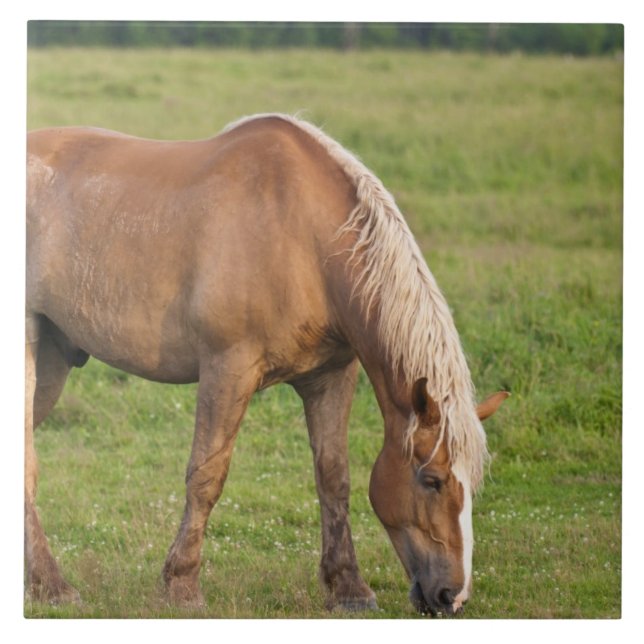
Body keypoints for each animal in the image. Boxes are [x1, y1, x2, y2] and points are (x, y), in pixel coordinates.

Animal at [26, 113, 508, 616]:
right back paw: (53, 586)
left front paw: (348, 587)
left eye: (473, 483)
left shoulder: (331, 377)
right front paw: (182, 584)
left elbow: (334, 477)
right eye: (432, 480)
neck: (305, 238)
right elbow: (206, 476)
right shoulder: (228, 370)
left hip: (53, 359)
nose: (453, 595)